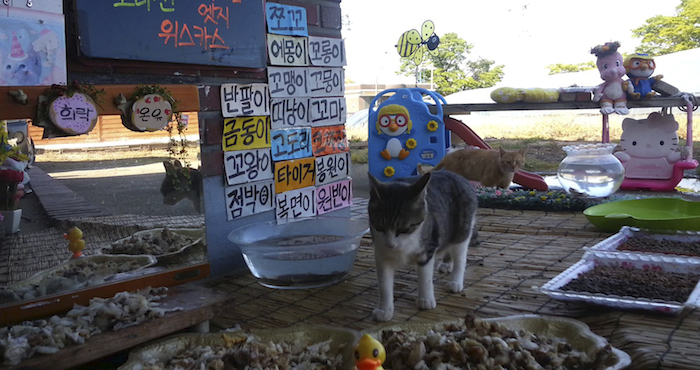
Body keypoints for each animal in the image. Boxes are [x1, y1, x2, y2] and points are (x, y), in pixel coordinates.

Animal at [370, 171, 478, 320]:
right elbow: (384, 283)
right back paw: (447, 263)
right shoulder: (382, 253)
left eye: (403, 229)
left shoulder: (427, 249)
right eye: (380, 227)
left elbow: (424, 276)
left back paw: (455, 281)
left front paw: (425, 299)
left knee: (460, 256)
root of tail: (460, 177)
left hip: (462, 230)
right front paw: (384, 309)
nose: (390, 244)